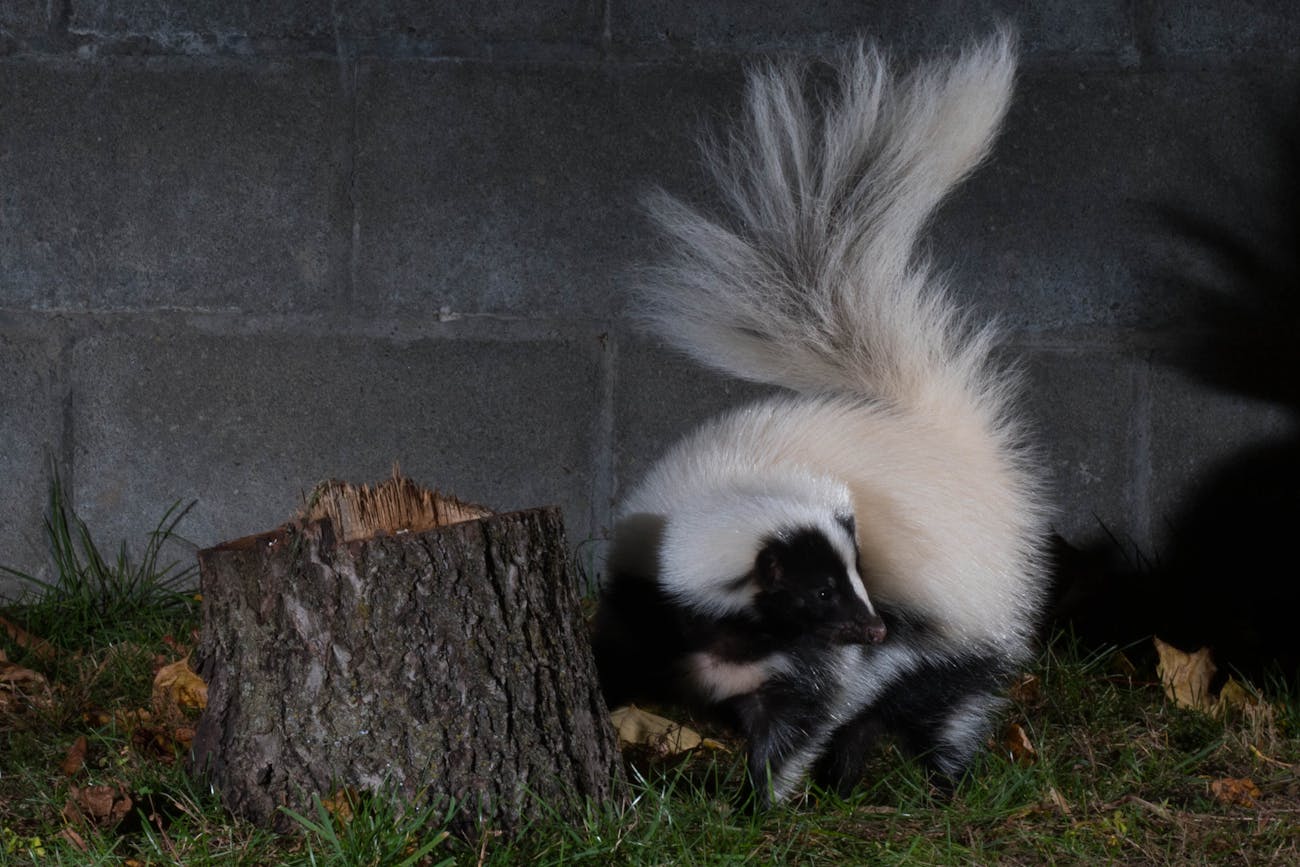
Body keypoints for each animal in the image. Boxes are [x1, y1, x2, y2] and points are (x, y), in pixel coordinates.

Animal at [595, 33, 1050, 805]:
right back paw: (852, 782)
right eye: (818, 589)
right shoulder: (646, 608)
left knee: (949, 708)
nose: (872, 627)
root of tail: (951, 445)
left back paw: (940, 786)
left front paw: (757, 803)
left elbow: (805, 716)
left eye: (860, 574)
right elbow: (615, 665)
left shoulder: (816, 663)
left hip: (964, 626)